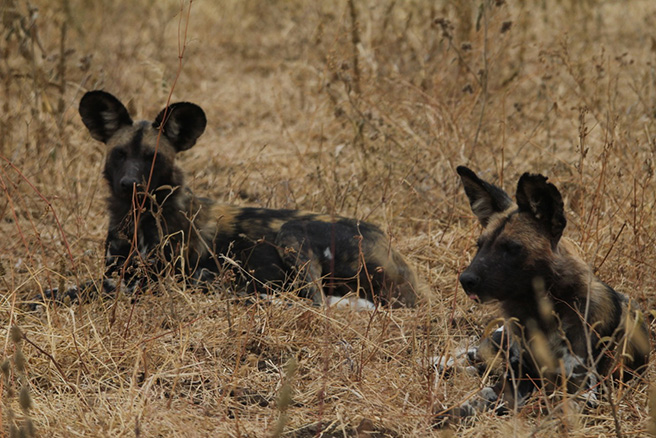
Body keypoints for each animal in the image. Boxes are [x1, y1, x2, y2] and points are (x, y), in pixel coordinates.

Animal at [36, 89, 418, 308]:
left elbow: (89, 287)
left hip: (292, 235)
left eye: (152, 158)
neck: (140, 220)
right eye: (119, 155)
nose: (131, 185)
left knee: (315, 302)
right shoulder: (122, 270)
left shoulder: (150, 281)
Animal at [446, 166, 652, 420]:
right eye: (479, 245)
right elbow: (471, 402)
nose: (466, 280)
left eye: (512, 248)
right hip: (494, 347)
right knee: (468, 358)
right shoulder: (514, 382)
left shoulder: (582, 394)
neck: (540, 311)